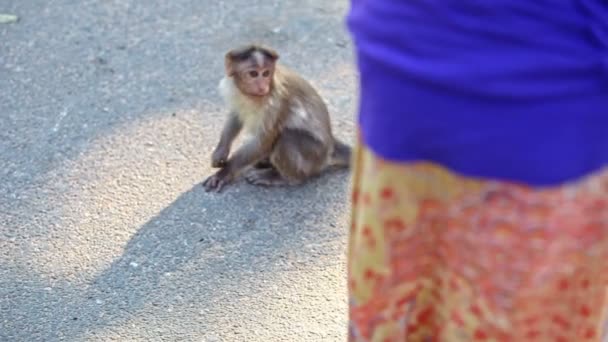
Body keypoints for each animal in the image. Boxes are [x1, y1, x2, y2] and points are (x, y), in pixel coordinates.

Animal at [202, 44, 350, 192]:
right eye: (253, 74)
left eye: (266, 73)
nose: (263, 86)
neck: (251, 97)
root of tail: (331, 144)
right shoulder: (235, 91)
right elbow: (236, 114)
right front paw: (220, 152)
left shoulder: (277, 102)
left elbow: (263, 140)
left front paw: (224, 172)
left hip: (315, 155)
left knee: (287, 137)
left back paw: (282, 177)